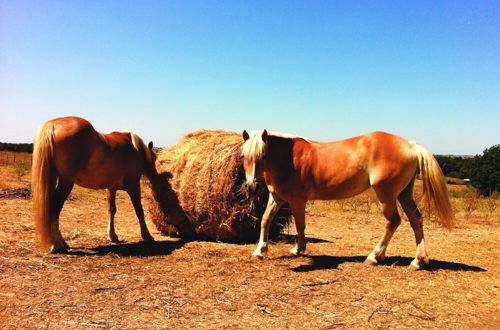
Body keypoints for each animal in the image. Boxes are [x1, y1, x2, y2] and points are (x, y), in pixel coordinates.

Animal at [32, 116, 157, 253]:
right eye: (154, 158)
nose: (155, 176)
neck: (134, 148)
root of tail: (53, 125)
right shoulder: (134, 186)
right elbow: (139, 210)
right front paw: (147, 236)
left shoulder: (111, 189)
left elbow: (112, 210)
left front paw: (112, 235)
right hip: (66, 182)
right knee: (54, 209)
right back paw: (56, 245)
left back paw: (61, 243)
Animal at [240, 127, 456, 270]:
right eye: (244, 156)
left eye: (263, 155)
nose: (251, 186)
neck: (289, 159)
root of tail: (410, 145)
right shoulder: (276, 198)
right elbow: (265, 220)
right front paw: (260, 250)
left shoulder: (297, 201)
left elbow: (301, 225)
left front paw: (299, 249)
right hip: (404, 194)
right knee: (416, 219)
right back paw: (418, 261)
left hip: (386, 195)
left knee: (393, 221)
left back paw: (374, 256)